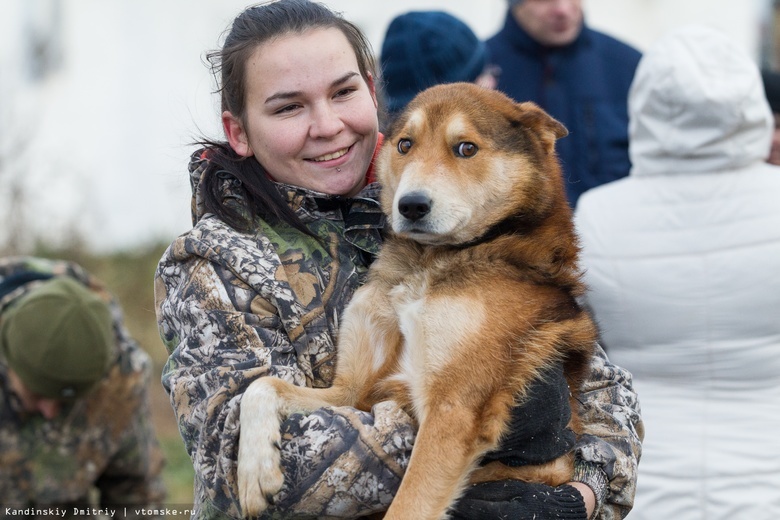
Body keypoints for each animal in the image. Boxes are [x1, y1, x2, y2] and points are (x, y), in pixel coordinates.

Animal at [238, 82, 596, 520]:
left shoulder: (451, 408)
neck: (428, 263)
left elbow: (408, 506)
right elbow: (262, 385)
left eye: (466, 148)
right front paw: (255, 470)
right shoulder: (352, 392)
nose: (410, 205)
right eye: (405, 145)